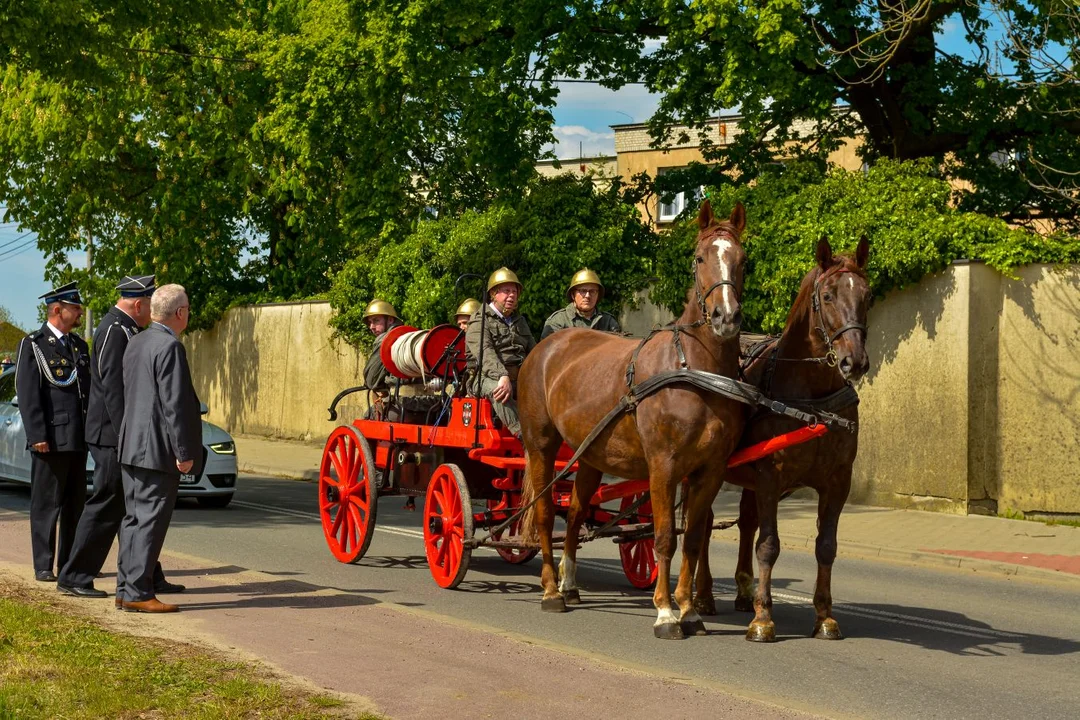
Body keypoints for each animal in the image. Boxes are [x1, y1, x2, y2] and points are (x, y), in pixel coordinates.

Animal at [518, 199, 747, 639]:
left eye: (742, 259)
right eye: (699, 257)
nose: (725, 317)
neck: (693, 369)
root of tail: (546, 346)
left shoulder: (708, 471)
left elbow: (693, 539)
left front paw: (690, 610)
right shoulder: (664, 467)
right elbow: (664, 538)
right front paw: (666, 613)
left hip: (590, 456)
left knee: (575, 515)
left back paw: (570, 584)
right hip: (541, 445)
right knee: (545, 513)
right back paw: (552, 590)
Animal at [695, 235, 872, 643]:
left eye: (867, 296)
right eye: (827, 296)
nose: (854, 362)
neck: (812, 396)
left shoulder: (837, 482)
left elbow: (826, 547)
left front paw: (824, 616)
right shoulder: (770, 478)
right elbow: (769, 545)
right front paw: (764, 618)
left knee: (744, 521)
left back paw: (743, 591)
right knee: (704, 524)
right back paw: (705, 595)